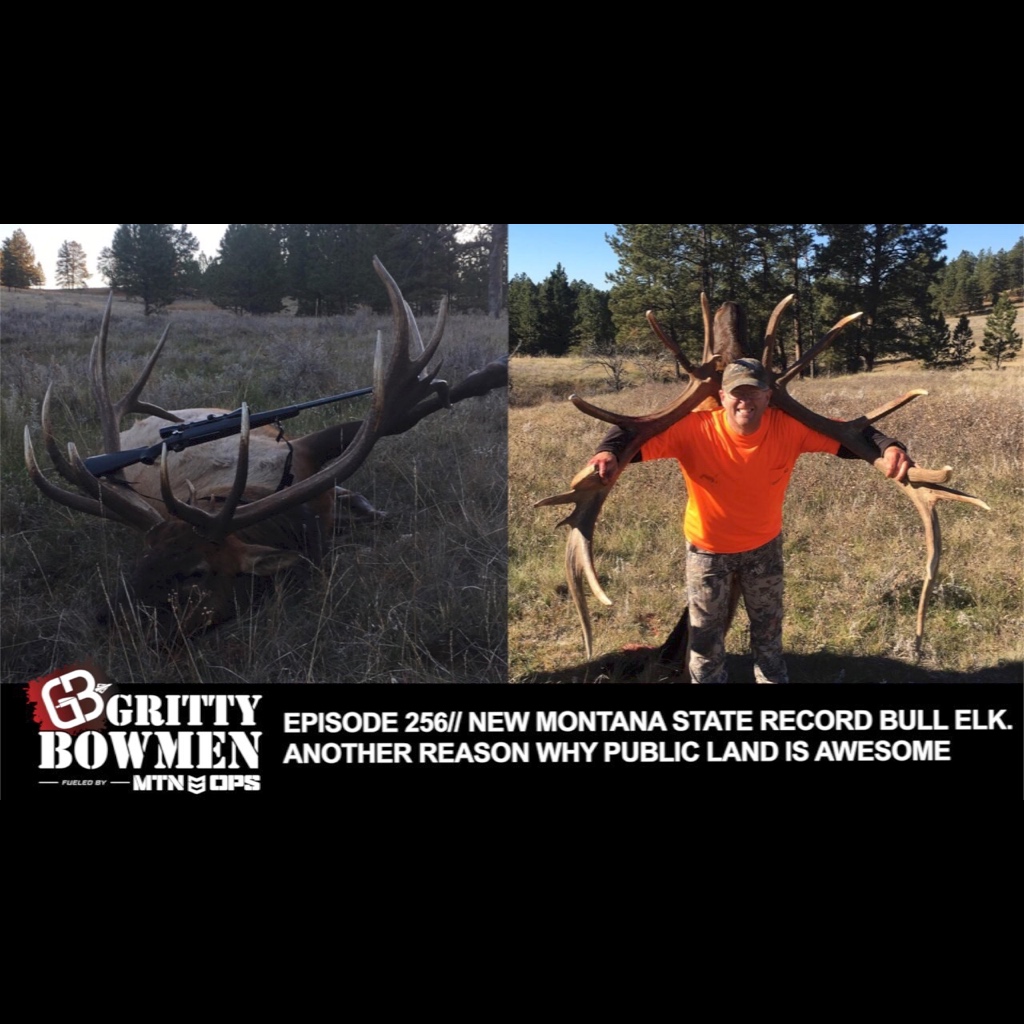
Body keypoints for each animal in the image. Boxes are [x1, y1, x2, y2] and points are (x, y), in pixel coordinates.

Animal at [24, 258, 508, 638]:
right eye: (142, 558)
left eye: (196, 573)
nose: (108, 621)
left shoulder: (306, 450)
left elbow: (388, 422)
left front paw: (487, 375)